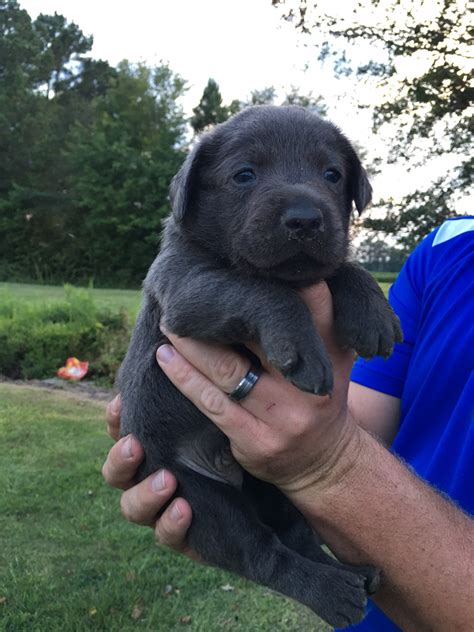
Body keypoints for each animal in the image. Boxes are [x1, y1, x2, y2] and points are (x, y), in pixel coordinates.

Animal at [116, 105, 402, 628]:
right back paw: (336, 591)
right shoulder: (186, 284)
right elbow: (260, 288)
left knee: (298, 536)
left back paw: (356, 575)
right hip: (194, 495)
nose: (306, 219)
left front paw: (372, 311)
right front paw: (303, 347)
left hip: (280, 489)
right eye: (244, 175)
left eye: (332, 175)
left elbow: (338, 266)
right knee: (264, 554)